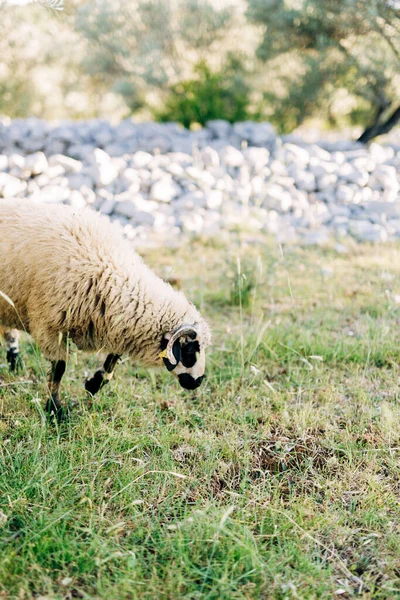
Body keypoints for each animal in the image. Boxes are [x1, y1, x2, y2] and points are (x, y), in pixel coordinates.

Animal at [0, 199, 211, 420]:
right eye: (189, 351)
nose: (198, 382)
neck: (109, 275)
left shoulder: (118, 324)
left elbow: (113, 359)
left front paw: (94, 383)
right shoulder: (50, 328)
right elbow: (59, 370)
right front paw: (55, 410)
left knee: (8, 331)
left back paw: (15, 362)